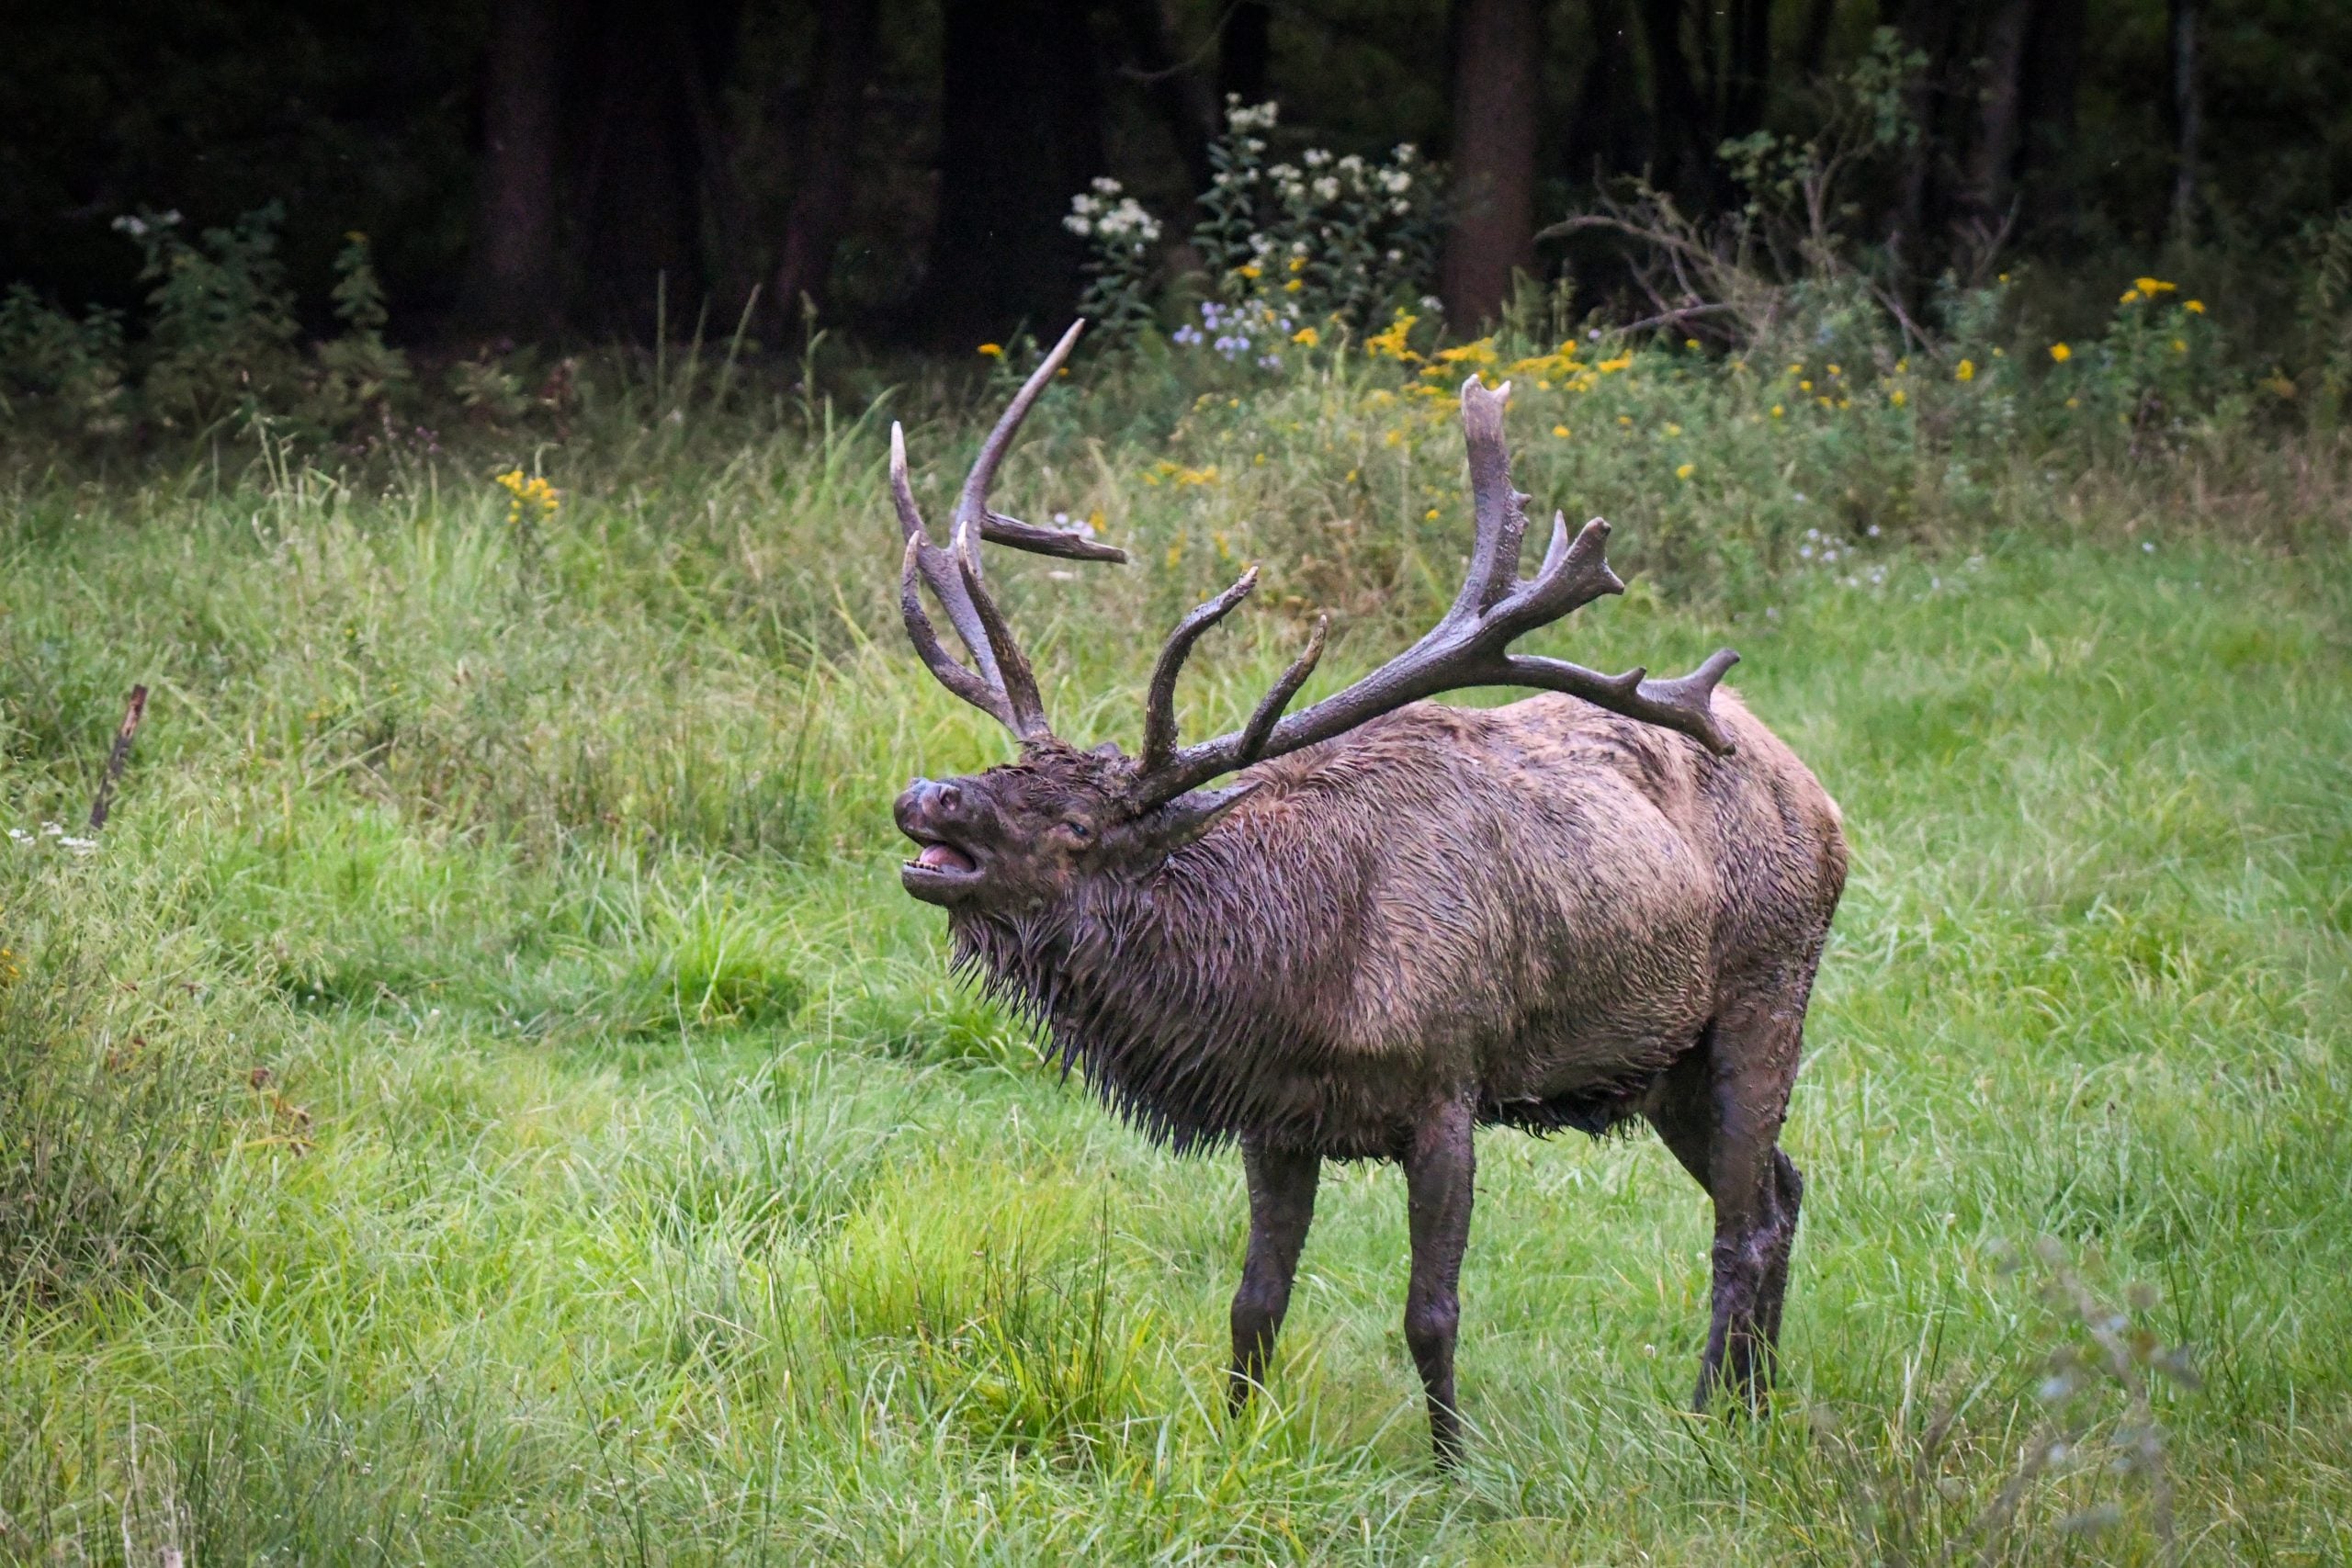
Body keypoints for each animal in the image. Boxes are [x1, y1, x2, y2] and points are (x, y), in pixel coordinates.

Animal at [887, 322, 1847, 1464]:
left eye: (1079, 826)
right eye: (1001, 772)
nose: (929, 795)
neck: (1298, 979)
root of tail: (1817, 792)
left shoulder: (1446, 1086)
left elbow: (1430, 1312)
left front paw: (1453, 1470)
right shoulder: (1273, 1118)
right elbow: (1253, 1302)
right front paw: (1235, 1445)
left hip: (1766, 988)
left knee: (1742, 1221)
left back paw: (1710, 1417)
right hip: (1664, 1064)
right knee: (1783, 1187)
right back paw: (1756, 1403)